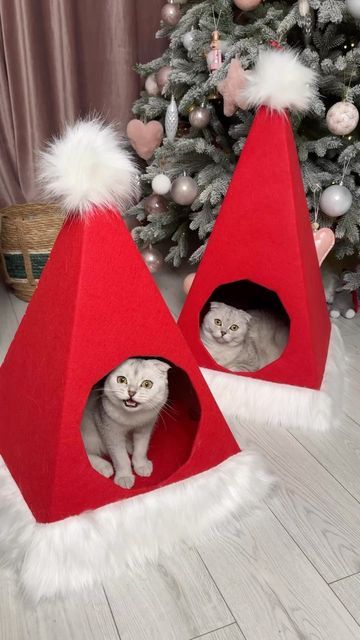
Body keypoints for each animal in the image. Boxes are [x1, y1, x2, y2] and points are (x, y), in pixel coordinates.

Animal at [81, 358, 170, 488]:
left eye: (147, 384)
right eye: (121, 380)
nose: (131, 392)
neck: (131, 418)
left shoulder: (145, 428)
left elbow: (141, 448)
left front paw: (141, 465)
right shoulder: (110, 430)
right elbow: (120, 457)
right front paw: (124, 477)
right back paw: (104, 466)